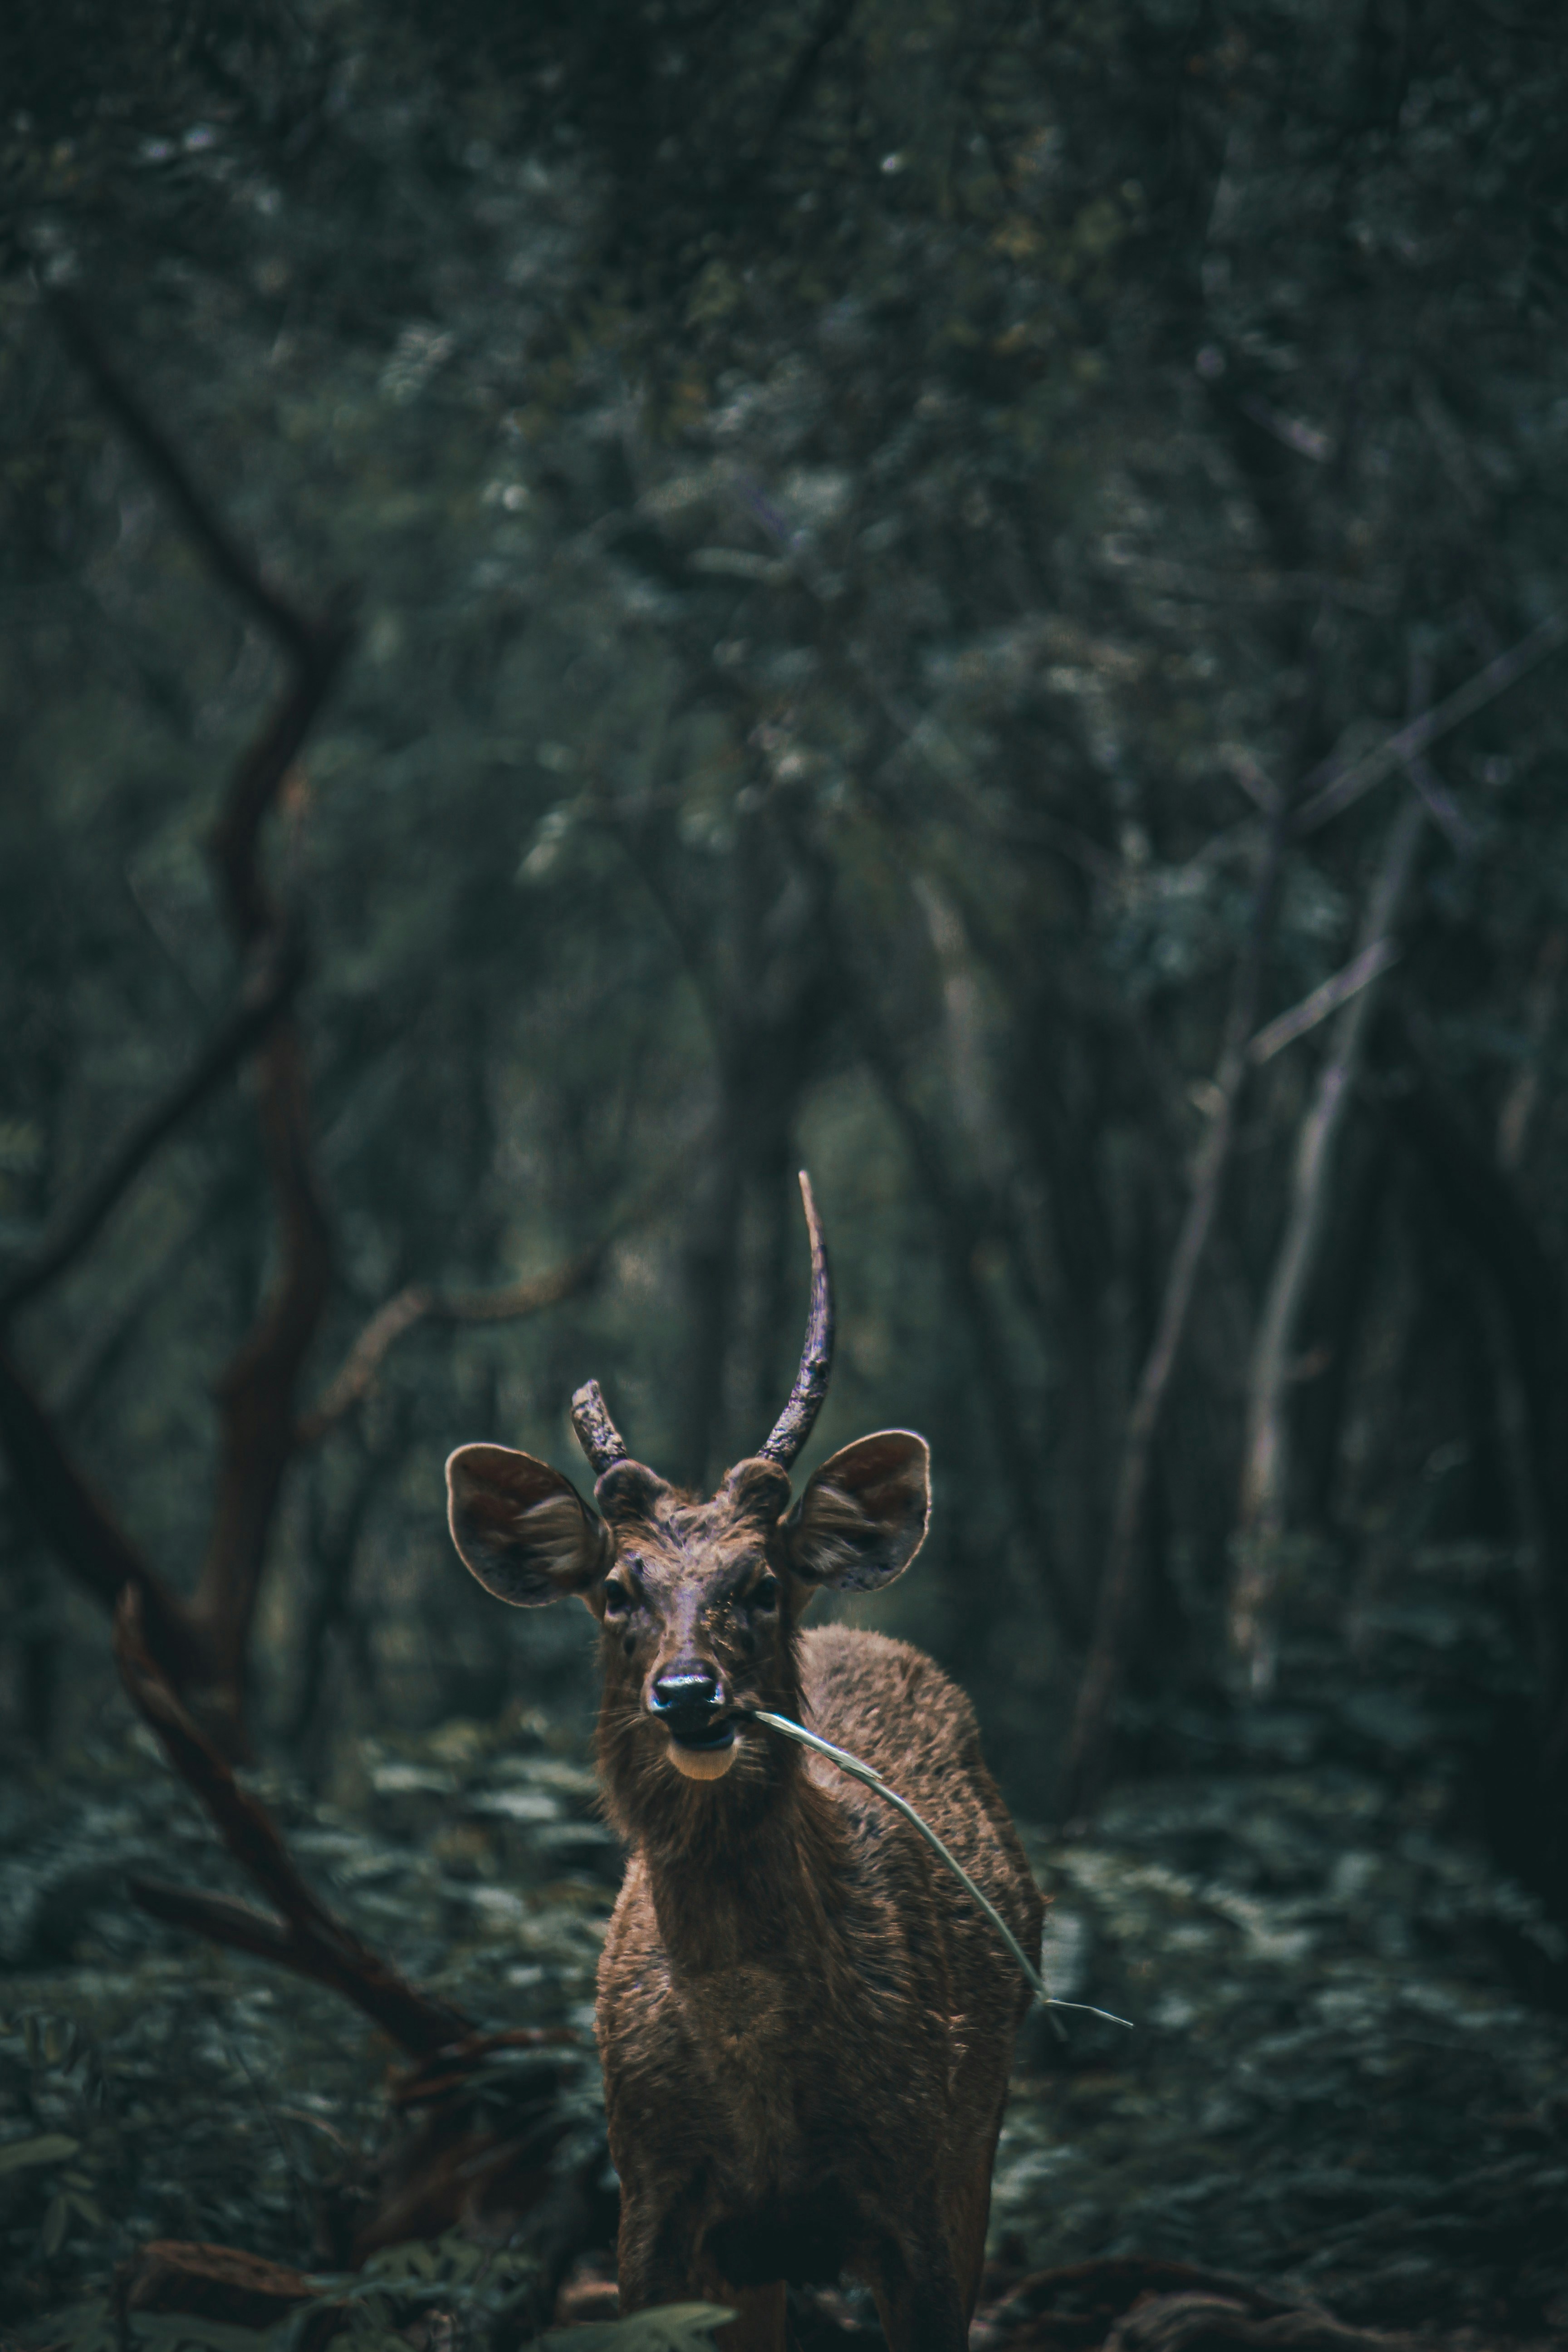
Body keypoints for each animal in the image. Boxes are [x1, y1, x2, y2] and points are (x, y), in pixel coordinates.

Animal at [444, 1175, 1043, 2351]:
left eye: (760, 1583)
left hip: (985, 2126)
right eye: (616, 1589)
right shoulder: (650, 2198)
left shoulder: (924, 2188)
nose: (689, 1693)